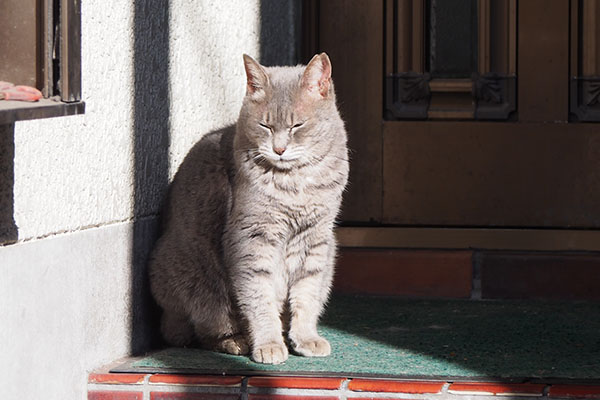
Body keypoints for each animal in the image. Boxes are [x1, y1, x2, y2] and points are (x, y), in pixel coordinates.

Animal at [147, 51, 350, 364]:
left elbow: (307, 292)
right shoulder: (251, 238)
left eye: (297, 126)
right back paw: (237, 342)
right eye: (265, 126)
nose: (279, 149)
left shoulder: (315, 239)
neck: (295, 184)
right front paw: (269, 343)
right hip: (196, 283)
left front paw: (305, 338)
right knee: (202, 331)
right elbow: (259, 296)